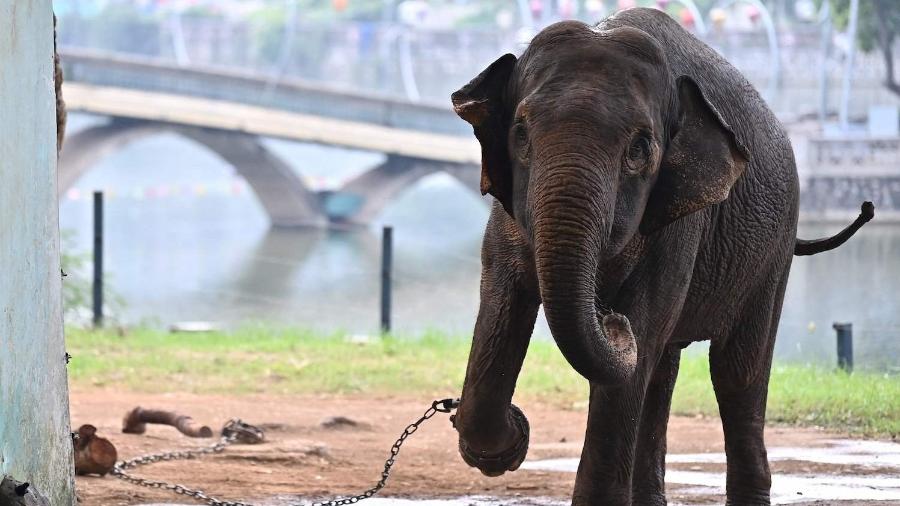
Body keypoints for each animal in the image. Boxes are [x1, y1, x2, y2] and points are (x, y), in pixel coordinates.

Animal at [450, 7, 872, 506]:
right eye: (519, 133)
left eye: (640, 148)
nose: (611, 319)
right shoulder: (507, 214)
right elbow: (502, 300)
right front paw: (509, 440)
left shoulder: (681, 223)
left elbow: (641, 335)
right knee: (662, 371)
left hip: (776, 248)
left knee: (735, 373)